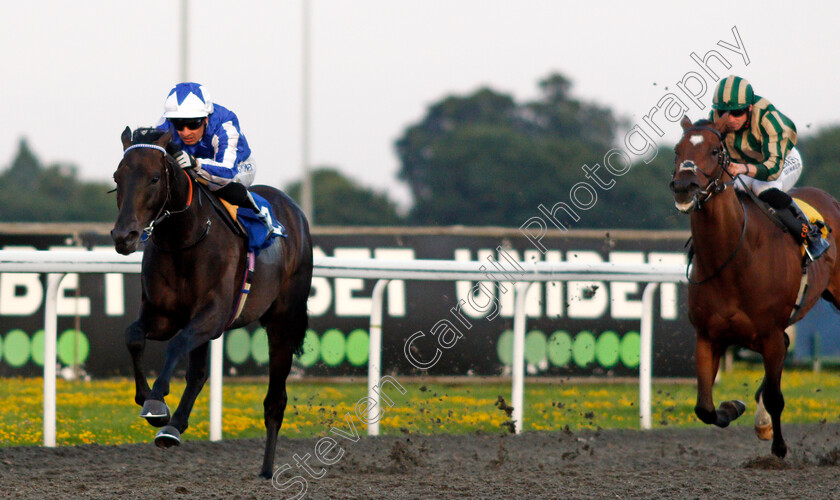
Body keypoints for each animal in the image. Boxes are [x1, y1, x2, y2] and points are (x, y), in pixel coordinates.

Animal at [108, 127, 312, 478]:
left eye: (153, 179)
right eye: (118, 177)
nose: (124, 236)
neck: (184, 240)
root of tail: (294, 210)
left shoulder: (214, 315)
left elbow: (177, 345)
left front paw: (156, 401)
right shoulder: (163, 315)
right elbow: (133, 336)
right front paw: (148, 399)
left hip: (282, 323)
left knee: (275, 400)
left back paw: (266, 469)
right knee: (199, 373)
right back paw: (173, 427)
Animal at [668, 114, 840, 458]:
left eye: (715, 150)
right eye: (678, 150)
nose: (683, 186)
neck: (733, 256)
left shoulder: (770, 334)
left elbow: (775, 397)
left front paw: (779, 446)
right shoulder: (707, 336)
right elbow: (704, 408)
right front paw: (733, 407)